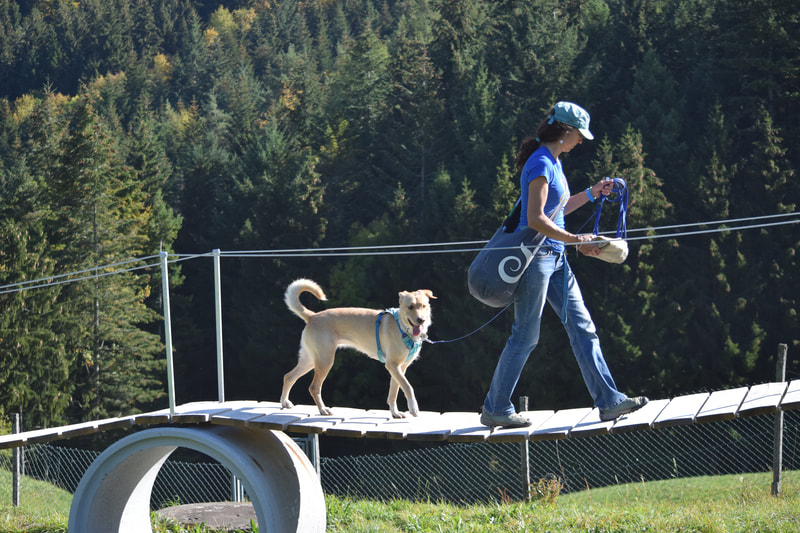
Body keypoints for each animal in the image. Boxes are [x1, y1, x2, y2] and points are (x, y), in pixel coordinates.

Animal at [278, 276, 434, 418]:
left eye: (423, 306)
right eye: (410, 307)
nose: (421, 320)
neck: (402, 327)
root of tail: (313, 316)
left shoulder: (399, 368)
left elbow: (394, 392)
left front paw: (395, 412)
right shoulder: (393, 365)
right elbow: (408, 387)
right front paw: (413, 408)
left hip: (310, 359)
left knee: (288, 376)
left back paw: (285, 402)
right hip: (325, 361)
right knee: (314, 387)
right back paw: (323, 409)